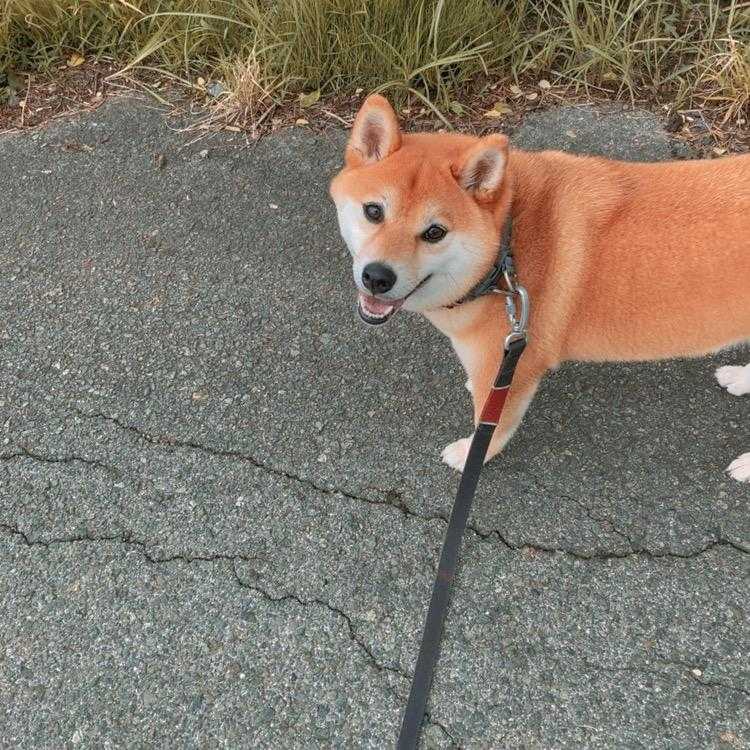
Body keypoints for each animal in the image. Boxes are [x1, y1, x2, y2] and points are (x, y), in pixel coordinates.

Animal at [329, 95, 750, 481]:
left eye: (435, 233)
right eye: (373, 211)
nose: (377, 276)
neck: (507, 249)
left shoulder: (517, 370)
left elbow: (492, 427)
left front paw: (469, 454)